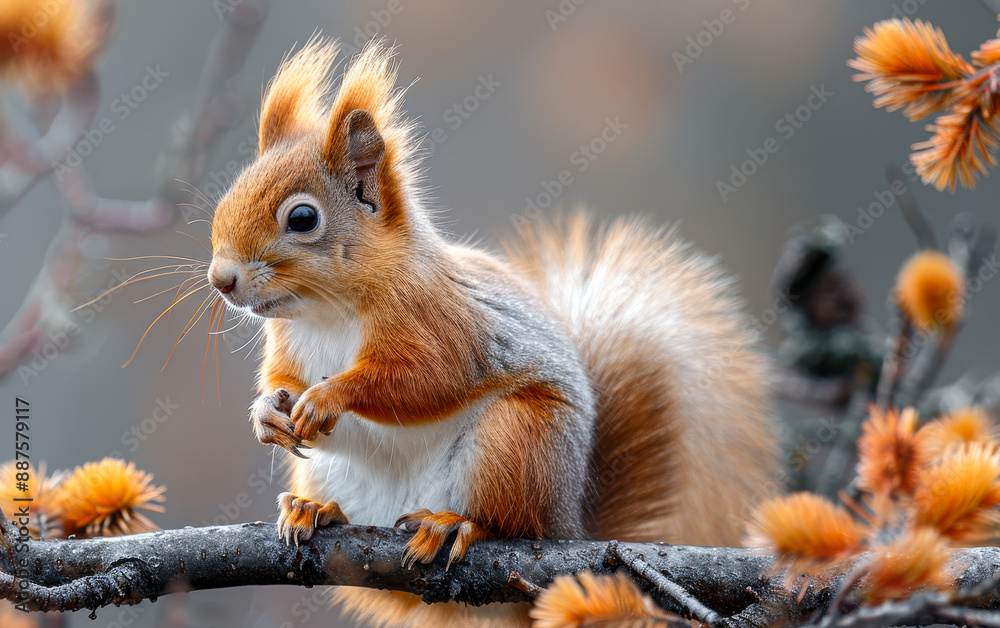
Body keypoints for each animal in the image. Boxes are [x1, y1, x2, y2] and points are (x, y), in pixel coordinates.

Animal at [207, 38, 777, 627]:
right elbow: (282, 380)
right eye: (227, 198)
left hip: (515, 443)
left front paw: (330, 395)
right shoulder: (288, 343)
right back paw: (317, 508)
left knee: (507, 522)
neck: (327, 310)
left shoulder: (441, 322)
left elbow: (424, 380)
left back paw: (452, 525)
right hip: (333, 472)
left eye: (302, 218)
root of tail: (567, 522)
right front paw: (267, 413)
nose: (221, 280)